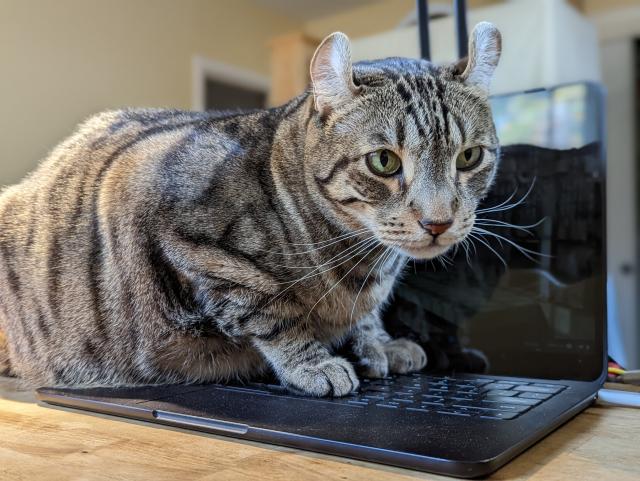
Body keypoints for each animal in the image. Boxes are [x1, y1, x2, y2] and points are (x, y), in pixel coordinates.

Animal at [0, 22, 500, 396]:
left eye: (469, 157)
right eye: (384, 161)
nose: (438, 221)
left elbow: (365, 320)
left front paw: (380, 343)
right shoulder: (185, 234)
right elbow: (269, 311)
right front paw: (313, 362)